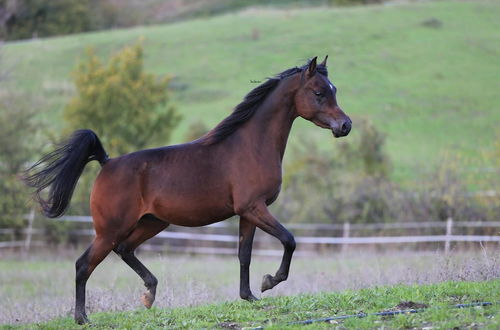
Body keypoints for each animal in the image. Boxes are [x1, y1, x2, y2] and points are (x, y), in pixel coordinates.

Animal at [23, 56, 352, 322]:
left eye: (334, 89)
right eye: (319, 92)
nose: (345, 125)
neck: (250, 146)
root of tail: (107, 162)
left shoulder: (248, 213)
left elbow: (244, 254)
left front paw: (249, 295)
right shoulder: (254, 208)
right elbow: (289, 240)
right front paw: (270, 281)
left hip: (152, 222)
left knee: (124, 250)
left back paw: (149, 294)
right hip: (110, 230)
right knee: (84, 265)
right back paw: (82, 317)